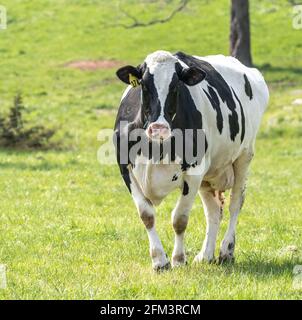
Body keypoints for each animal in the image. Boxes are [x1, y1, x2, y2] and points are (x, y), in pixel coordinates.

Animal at [114, 50, 268, 270]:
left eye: (176, 85)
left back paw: (226, 251)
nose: (159, 128)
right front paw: (159, 261)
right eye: (143, 84)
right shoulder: (125, 168)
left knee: (235, 204)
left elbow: (180, 219)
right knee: (214, 211)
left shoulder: (194, 172)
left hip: (244, 156)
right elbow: (147, 215)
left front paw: (178, 259)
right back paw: (206, 255)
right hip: (209, 174)